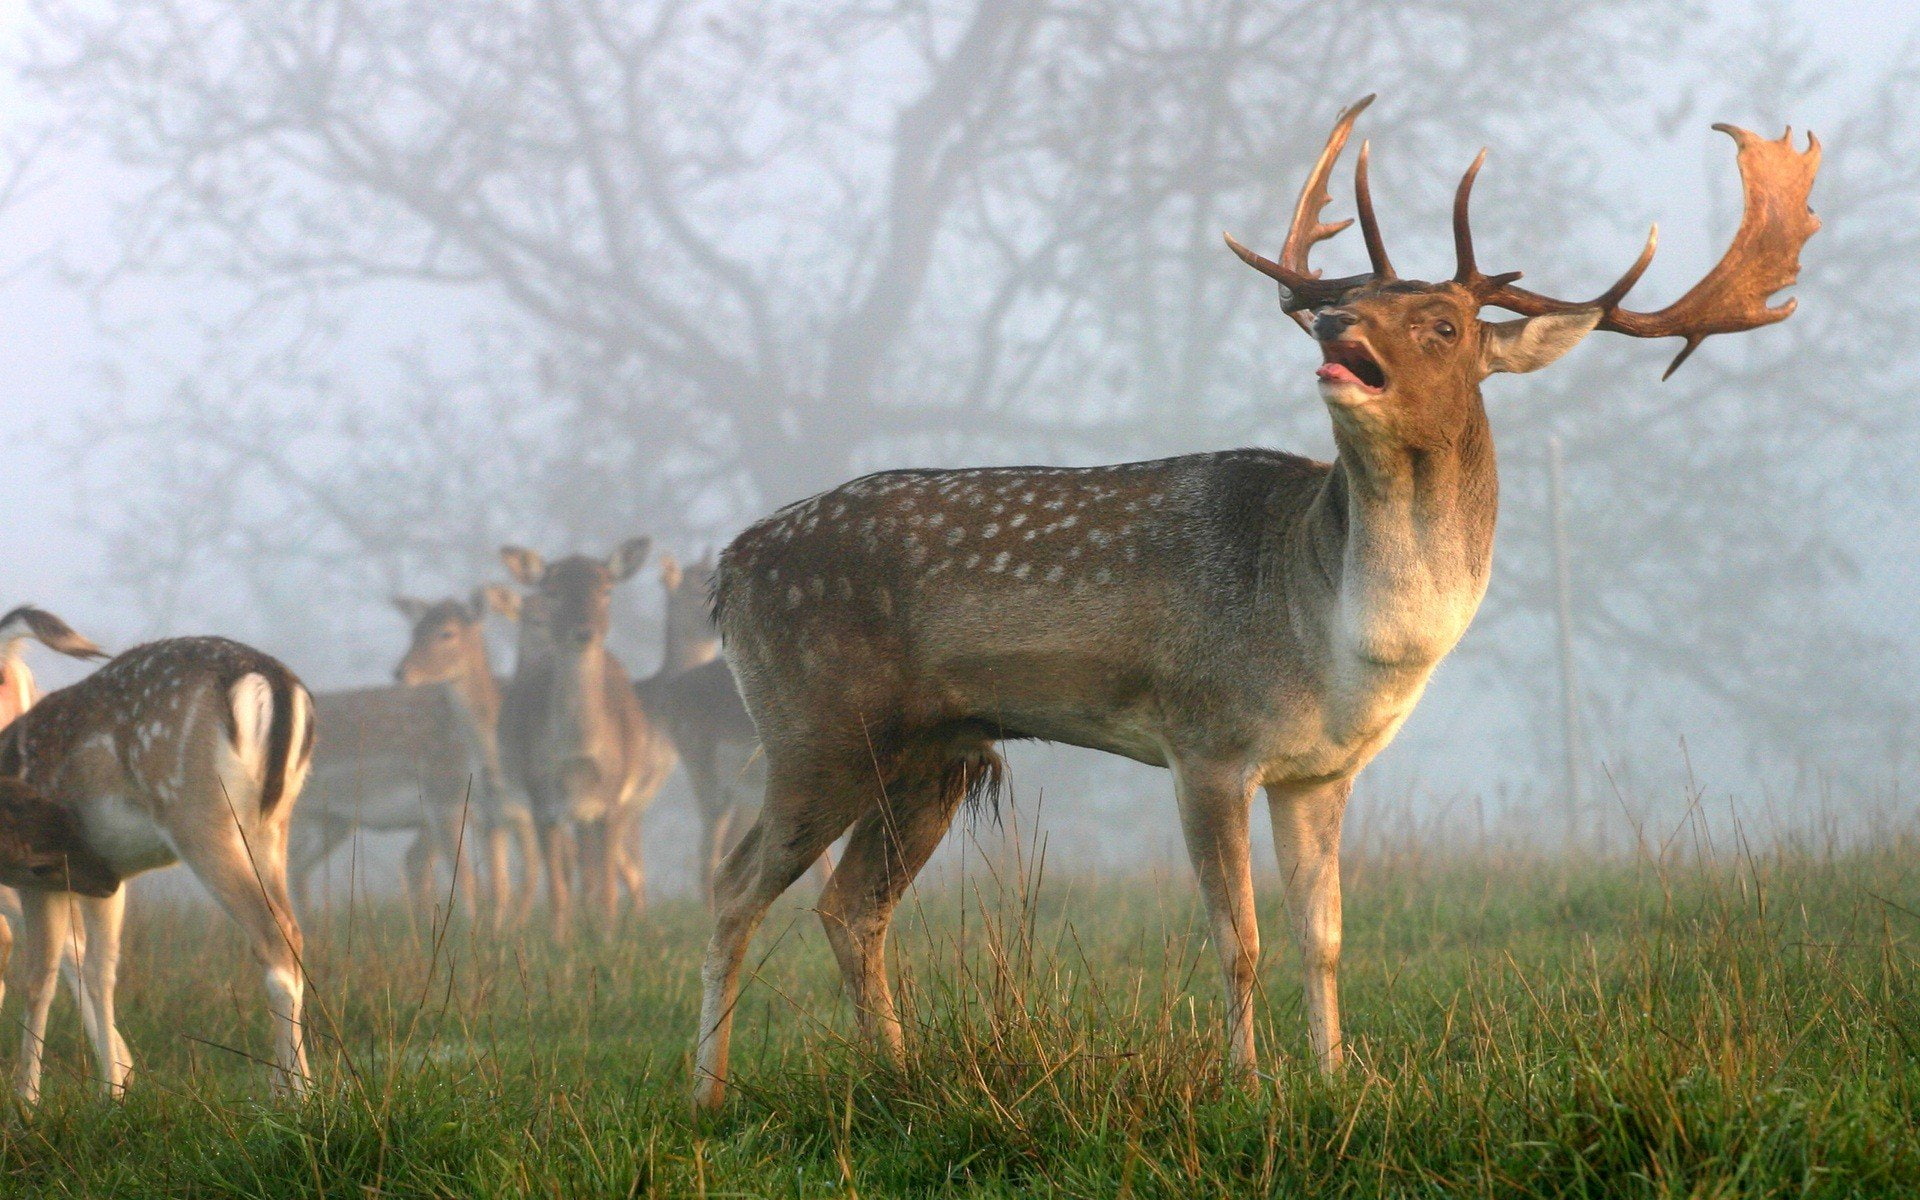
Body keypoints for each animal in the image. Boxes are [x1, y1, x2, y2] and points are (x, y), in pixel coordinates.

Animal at [0, 635, 317, 1102]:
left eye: (40, 862)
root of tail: (274, 681)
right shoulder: (105, 877)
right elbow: (100, 971)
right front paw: (112, 1093)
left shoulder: (46, 876)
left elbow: (40, 980)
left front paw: (26, 1102)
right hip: (273, 826)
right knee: (292, 931)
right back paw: (301, 1087)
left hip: (197, 814)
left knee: (273, 937)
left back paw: (296, 1098)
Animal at [499, 540, 675, 934]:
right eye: (552, 590)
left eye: (606, 589)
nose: (583, 632)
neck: (577, 754)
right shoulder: (541, 798)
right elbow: (558, 889)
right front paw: (558, 940)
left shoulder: (612, 798)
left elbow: (608, 886)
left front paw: (607, 938)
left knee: (607, 873)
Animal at [690, 95, 1821, 1109]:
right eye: (1365, 302)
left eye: (1444, 321)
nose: (1332, 317)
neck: (1332, 639)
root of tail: (728, 569)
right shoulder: (1207, 739)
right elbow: (1239, 939)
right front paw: (1247, 1085)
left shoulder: (1320, 773)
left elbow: (1325, 938)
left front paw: (1335, 1076)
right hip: (817, 723)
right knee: (735, 883)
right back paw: (708, 1093)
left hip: (934, 753)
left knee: (850, 907)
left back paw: (895, 1073)